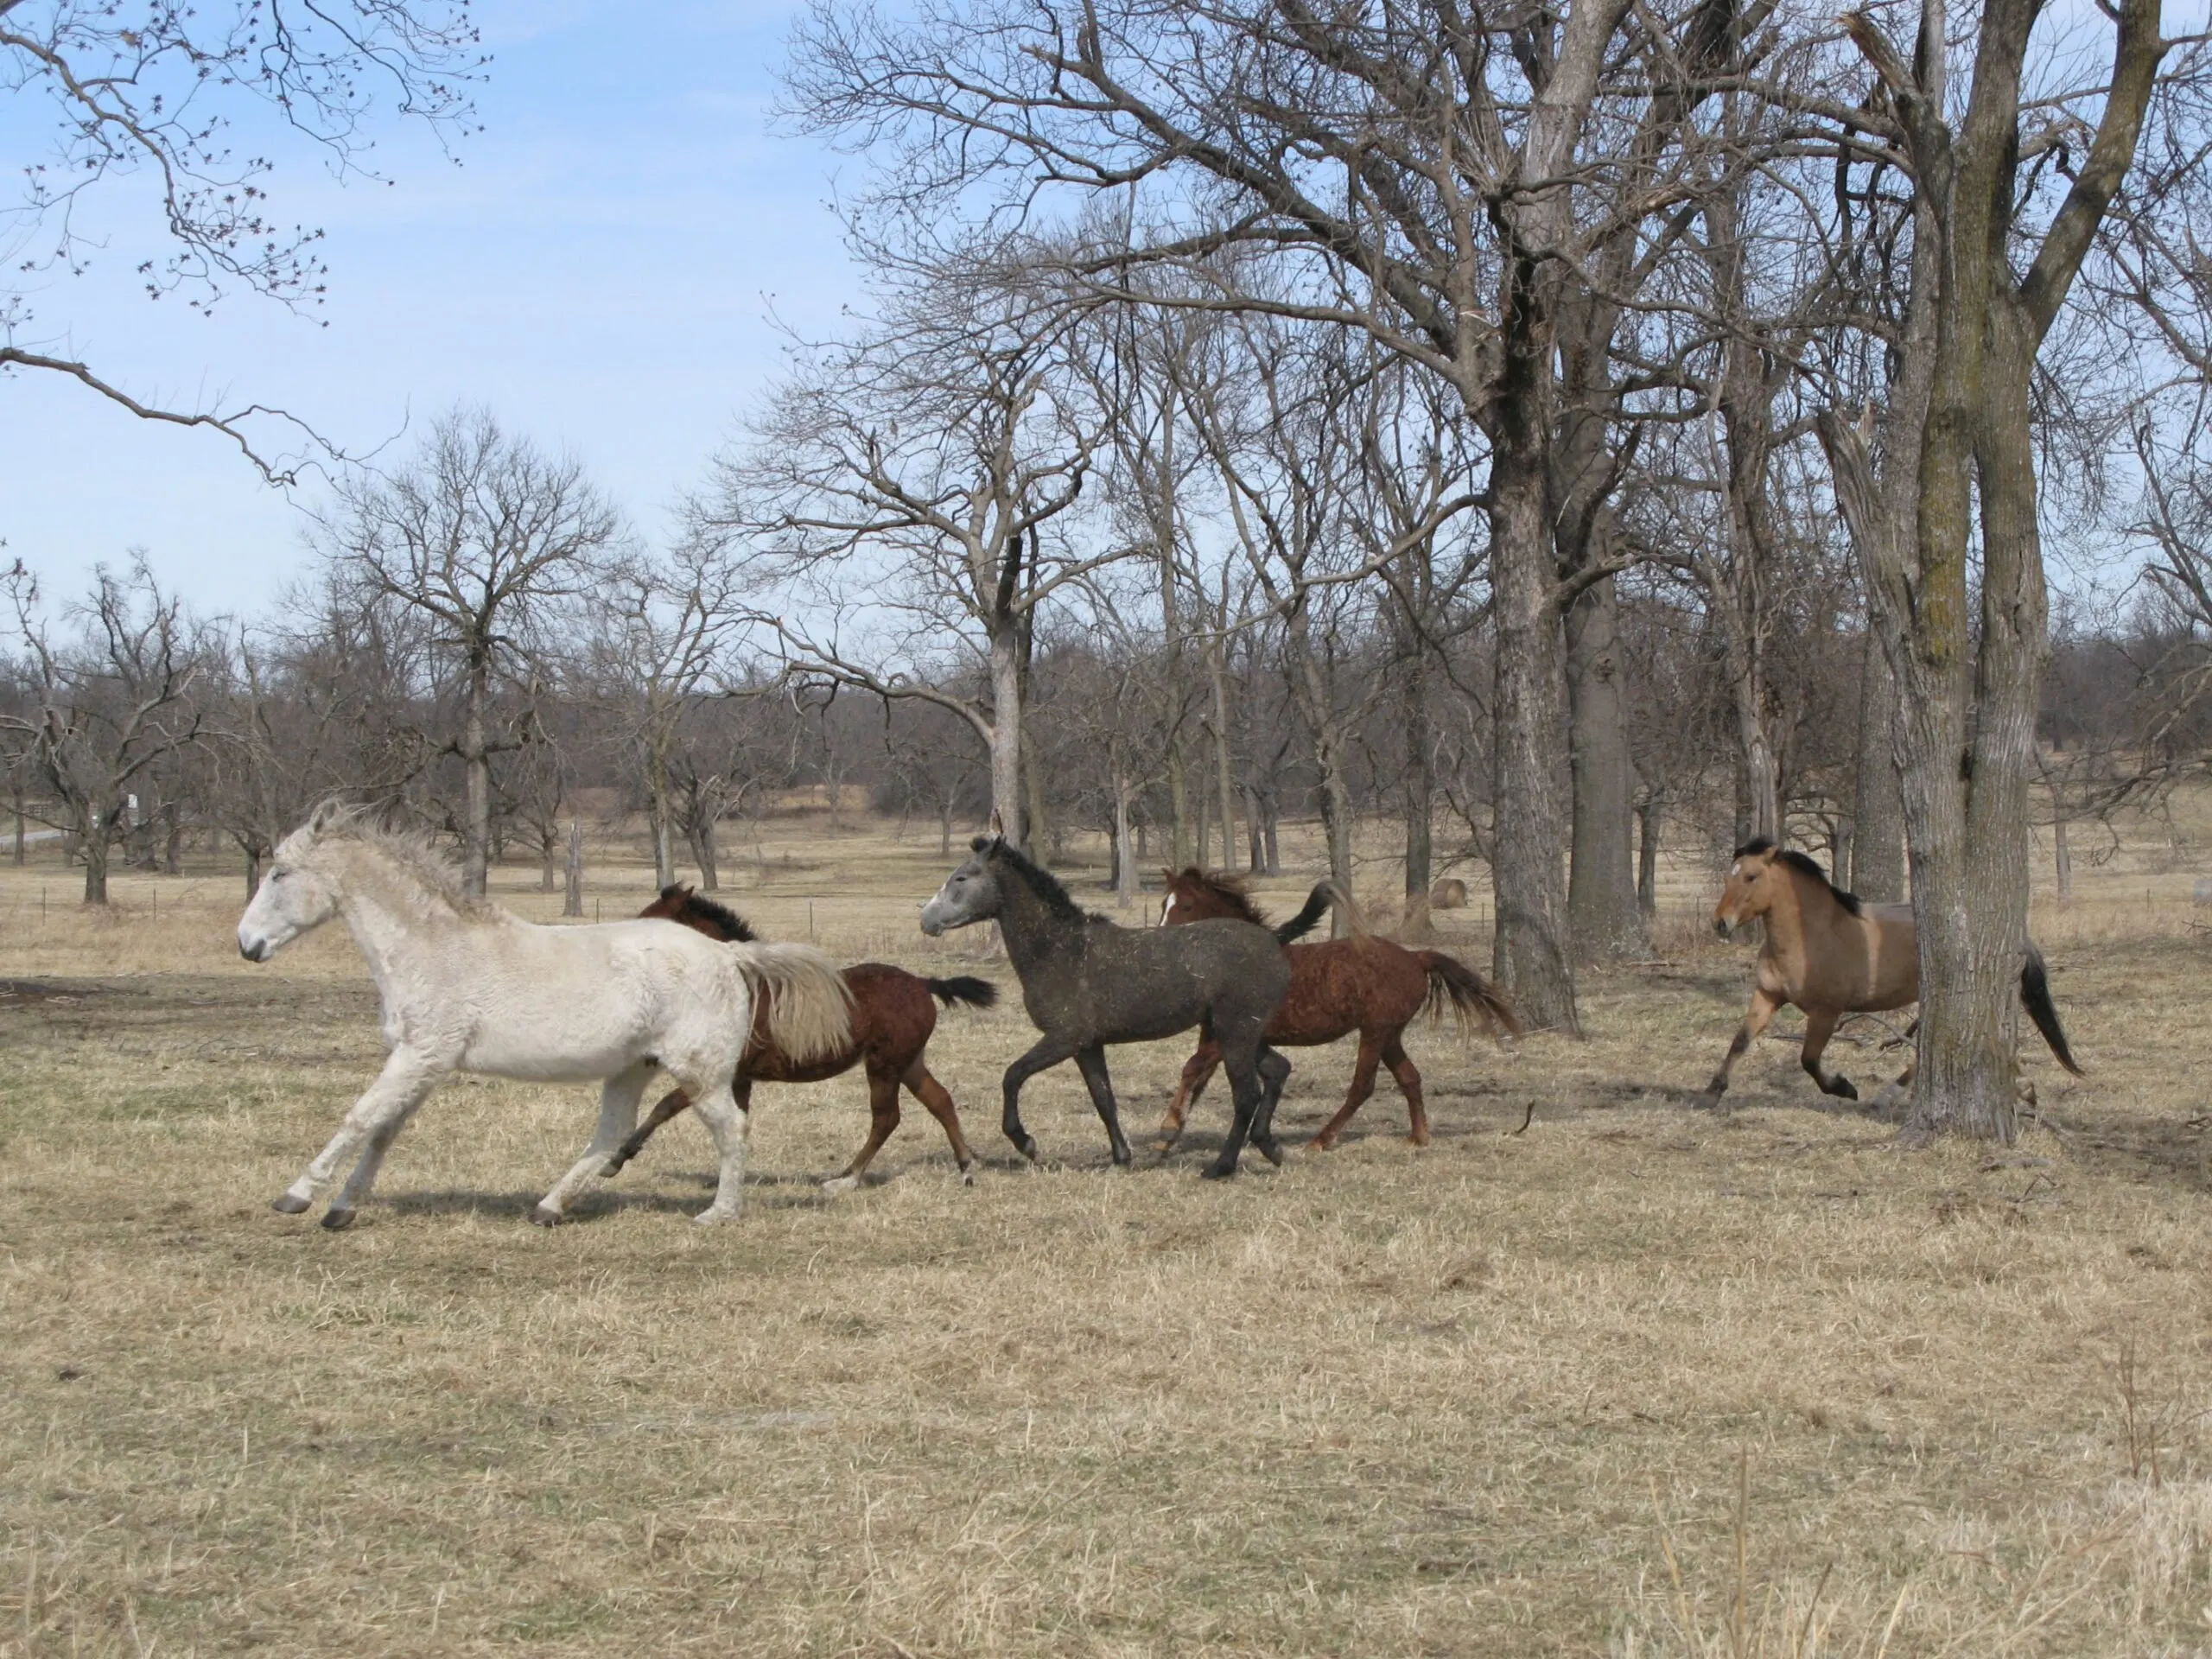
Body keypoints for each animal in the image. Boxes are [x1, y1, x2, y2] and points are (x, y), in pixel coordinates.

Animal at [238, 804, 849, 1238]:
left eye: (280, 874)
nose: (247, 945)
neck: (435, 950)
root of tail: (728, 955)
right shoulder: (424, 1064)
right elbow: (384, 1130)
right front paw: (341, 1209)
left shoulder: (418, 1057)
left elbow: (359, 1119)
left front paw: (296, 1197)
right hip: (632, 1068)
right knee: (613, 1134)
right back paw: (549, 1208)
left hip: (699, 1074)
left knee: (731, 1129)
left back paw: (719, 1213)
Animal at [1159, 871, 1522, 1159]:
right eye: (1164, 903)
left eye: (1186, 906)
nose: (1159, 942)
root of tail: (1416, 957)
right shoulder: (1219, 1036)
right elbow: (1198, 1078)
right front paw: (1171, 1136)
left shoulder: (1232, 1036)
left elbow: (1192, 1068)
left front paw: (1168, 1129)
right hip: (1389, 1035)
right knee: (1409, 1077)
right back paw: (1419, 1137)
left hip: (1375, 1032)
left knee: (1362, 1086)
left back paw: (1322, 1140)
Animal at [1699, 836, 2079, 1110]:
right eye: (1728, 875)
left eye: (1751, 877)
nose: (1720, 923)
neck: (1812, 937)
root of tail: (2017, 941)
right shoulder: (1768, 995)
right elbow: (1741, 1040)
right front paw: (1712, 1091)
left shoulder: (1826, 1012)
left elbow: (1809, 1060)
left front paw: (1845, 1088)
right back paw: (2024, 1088)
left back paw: (1888, 1095)